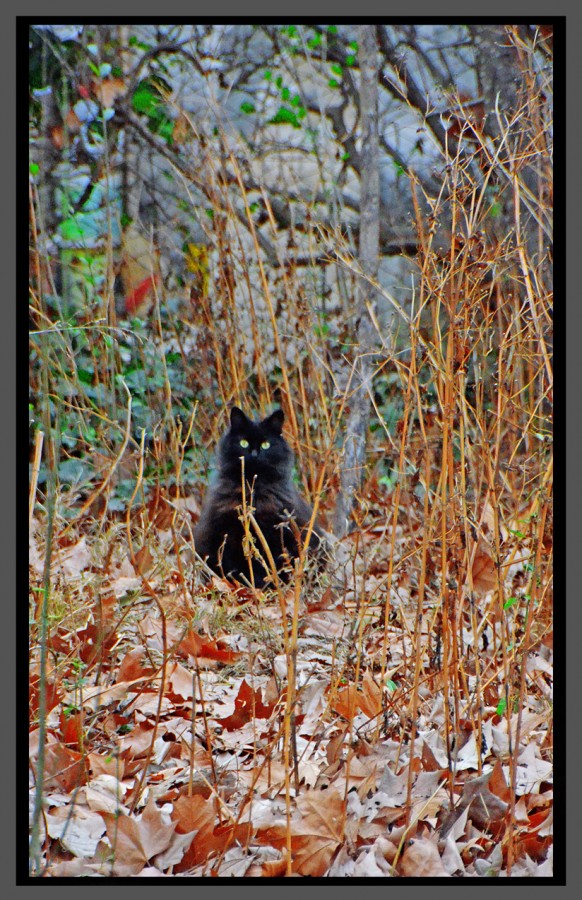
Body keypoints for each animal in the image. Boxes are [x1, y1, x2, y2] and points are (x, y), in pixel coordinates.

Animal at [195, 404, 324, 588]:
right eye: (243, 443)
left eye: (265, 445)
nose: (255, 454)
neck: (253, 492)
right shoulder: (227, 533)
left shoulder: (273, 533)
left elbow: (264, 567)